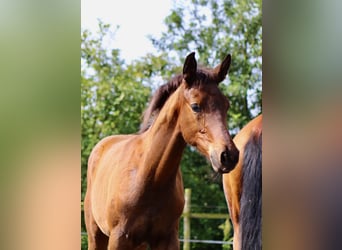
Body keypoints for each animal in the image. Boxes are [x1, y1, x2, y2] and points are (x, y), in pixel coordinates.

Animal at [84, 51, 239, 249]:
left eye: (226, 105)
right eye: (195, 106)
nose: (228, 155)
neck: (150, 176)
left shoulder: (168, 238)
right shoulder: (118, 238)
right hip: (96, 235)